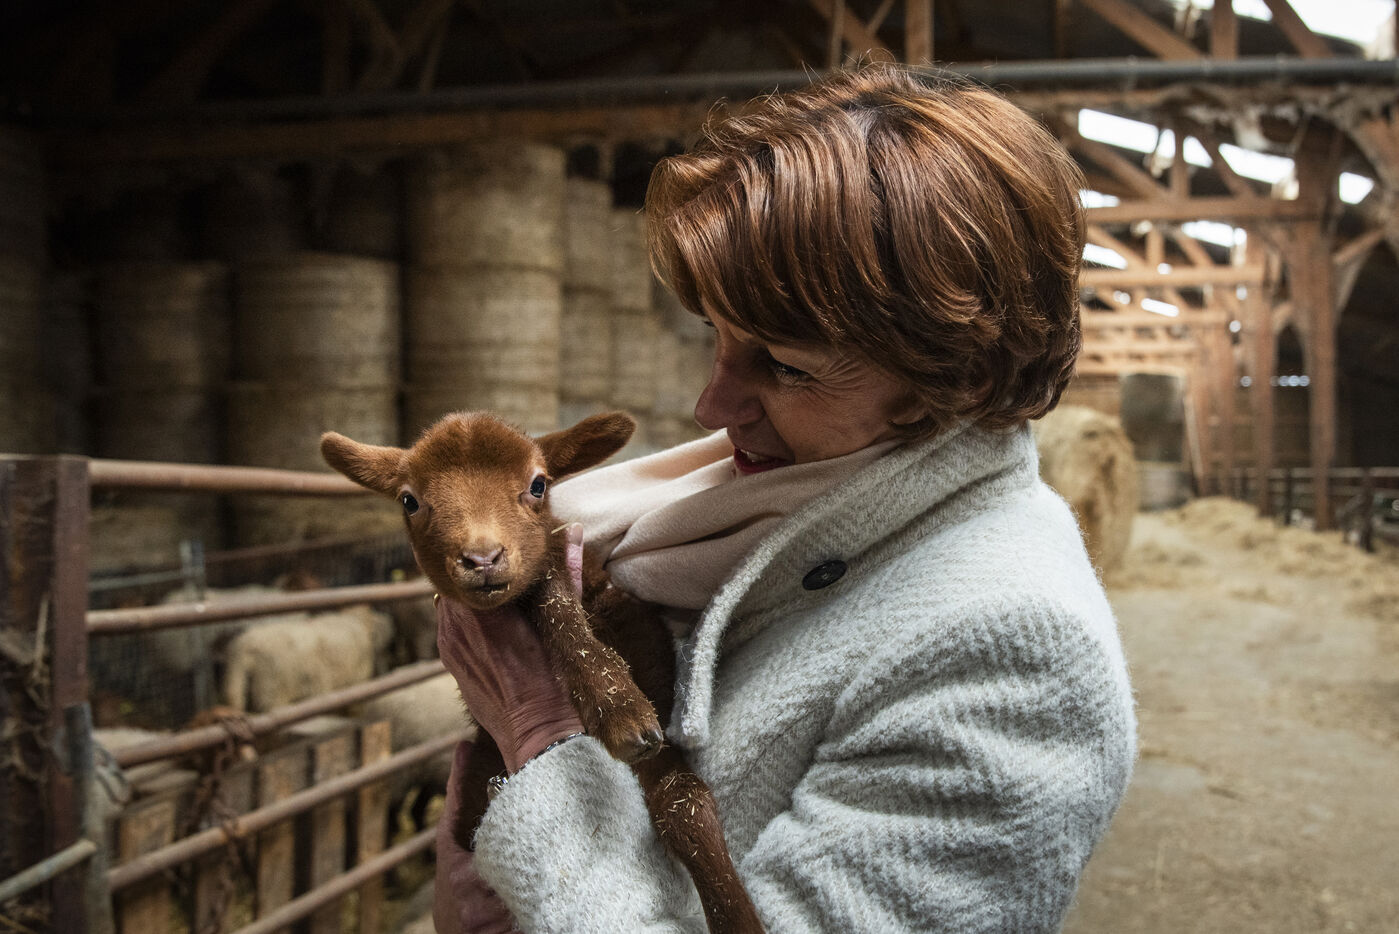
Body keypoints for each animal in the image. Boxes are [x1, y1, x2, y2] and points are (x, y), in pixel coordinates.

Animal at [321, 410, 764, 934]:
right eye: (409, 500)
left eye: (538, 485)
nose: (483, 559)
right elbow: (549, 592)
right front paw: (616, 705)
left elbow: (688, 805)